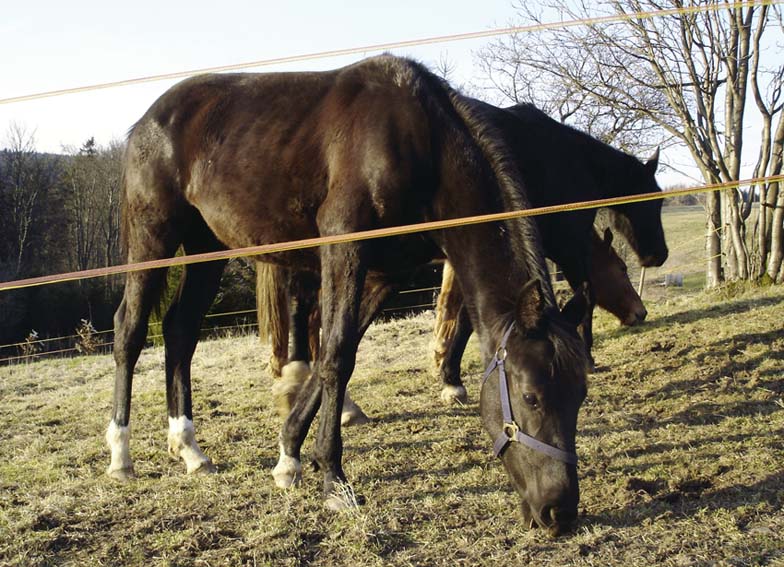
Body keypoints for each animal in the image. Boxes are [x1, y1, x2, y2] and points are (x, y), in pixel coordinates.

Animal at [108, 55, 588, 536]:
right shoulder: (345, 247)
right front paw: (334, 481)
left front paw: (289, 456)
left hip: (207, 247)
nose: (559, 512)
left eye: (580, 395)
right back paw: (120, 456)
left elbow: (334, 357)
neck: (418, 142)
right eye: (530, 397)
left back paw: (189, 448)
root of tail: (148, 120)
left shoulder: (383, 275)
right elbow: (337, 357)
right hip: (152, 238)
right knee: (129, 332)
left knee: (180, 331)